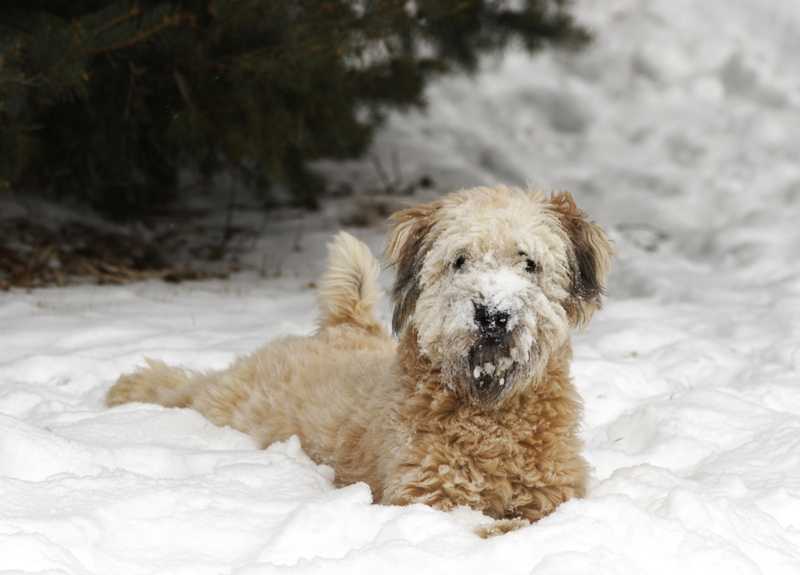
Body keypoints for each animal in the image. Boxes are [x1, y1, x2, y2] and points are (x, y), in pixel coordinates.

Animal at [108, 184, 612, 536]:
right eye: (460, 260)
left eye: (529, 262)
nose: (492, 314)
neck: (491, 415)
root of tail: (344, 327)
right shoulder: (425, 497)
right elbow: (492, 526)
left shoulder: (556, 490)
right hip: (225, 401)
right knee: (182, 385)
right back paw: (128, 390)